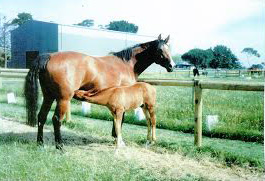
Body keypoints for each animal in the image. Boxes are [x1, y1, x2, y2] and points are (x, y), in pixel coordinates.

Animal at [23, 34, 174, 149]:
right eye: (159, 50)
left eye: (169, 48)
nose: (172, 66)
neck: (127, 64)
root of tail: (48, 57)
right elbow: (120, 121)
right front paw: (117, 139)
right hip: (63, 99)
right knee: (56, 120)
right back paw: (60, 146)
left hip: (48, 96)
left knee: (41, 117)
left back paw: (40, 143)